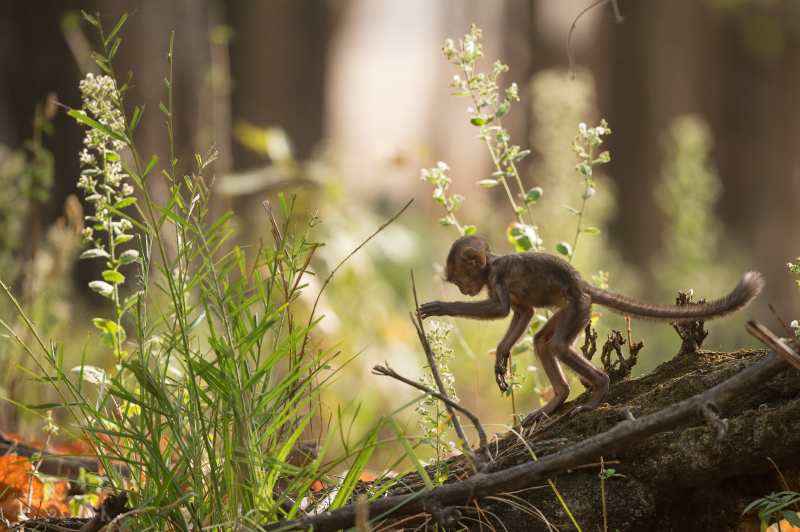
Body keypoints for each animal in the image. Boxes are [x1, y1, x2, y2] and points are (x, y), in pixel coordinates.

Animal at [416, 235, 764, 426]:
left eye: (460, 279)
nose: (463, 290)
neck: (492, 266)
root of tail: (582, 285)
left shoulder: (499, 277)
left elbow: (502, 310)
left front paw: (442, 307)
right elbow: (525, 313)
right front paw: (501, 357)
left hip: (578, 306)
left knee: (558, 345)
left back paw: (599, 390)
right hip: (574, 308)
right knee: (543, 342)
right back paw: (558, 399)